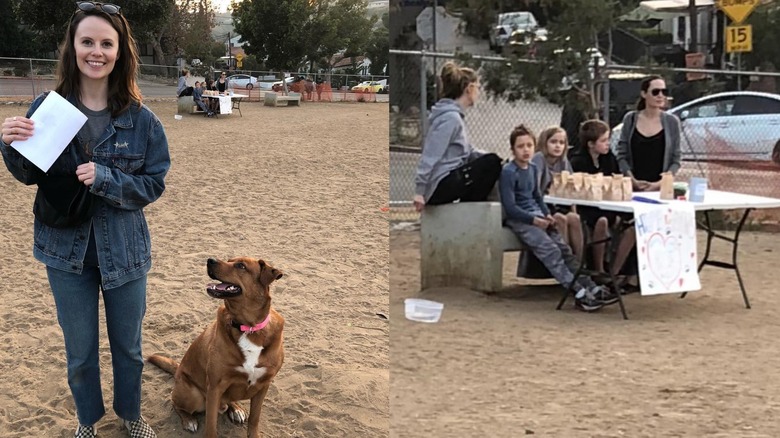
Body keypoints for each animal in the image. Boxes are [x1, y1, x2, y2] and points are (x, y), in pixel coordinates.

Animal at [146, 256, 284, 438]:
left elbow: (255, 419)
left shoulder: (263, 385)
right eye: (230, 260)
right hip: (194, 395)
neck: (248, 328)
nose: (210, 260)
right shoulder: (215, 386)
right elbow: (211, 425)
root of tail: (178, 370)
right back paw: (188, 420)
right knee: (174, 402)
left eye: (241, 266)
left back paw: (236, 409)